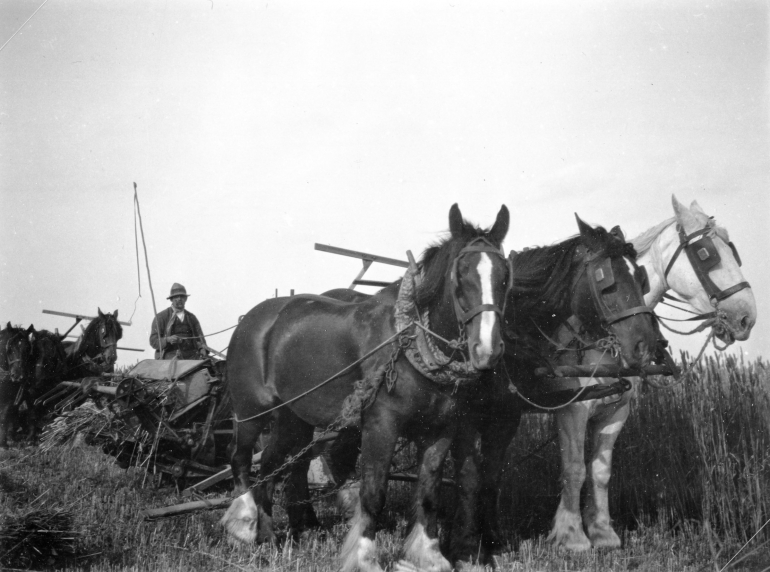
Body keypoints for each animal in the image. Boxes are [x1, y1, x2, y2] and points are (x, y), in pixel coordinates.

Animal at [222, 203, 510, 568]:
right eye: (461, 275)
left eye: (505, 275)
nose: (488, 349)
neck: (410, 342)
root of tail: (251, 319)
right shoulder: (381, 423)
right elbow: (373, 493)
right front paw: (364, 558)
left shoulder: (440, 428)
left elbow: (428, 492)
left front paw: (428, 555)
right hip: (250, 411)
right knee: (241, 460)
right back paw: (244, 526)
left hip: (293, 419)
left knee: (274, 465)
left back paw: (268, 537)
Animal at [444, 216, 656, 568]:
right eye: (606, 283)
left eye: (642, 279)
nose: (646, 347)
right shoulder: (571, 409)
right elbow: (573, 468)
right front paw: (572, 537)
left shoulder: (614, 410)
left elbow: (600, 471)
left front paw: (603, 534)